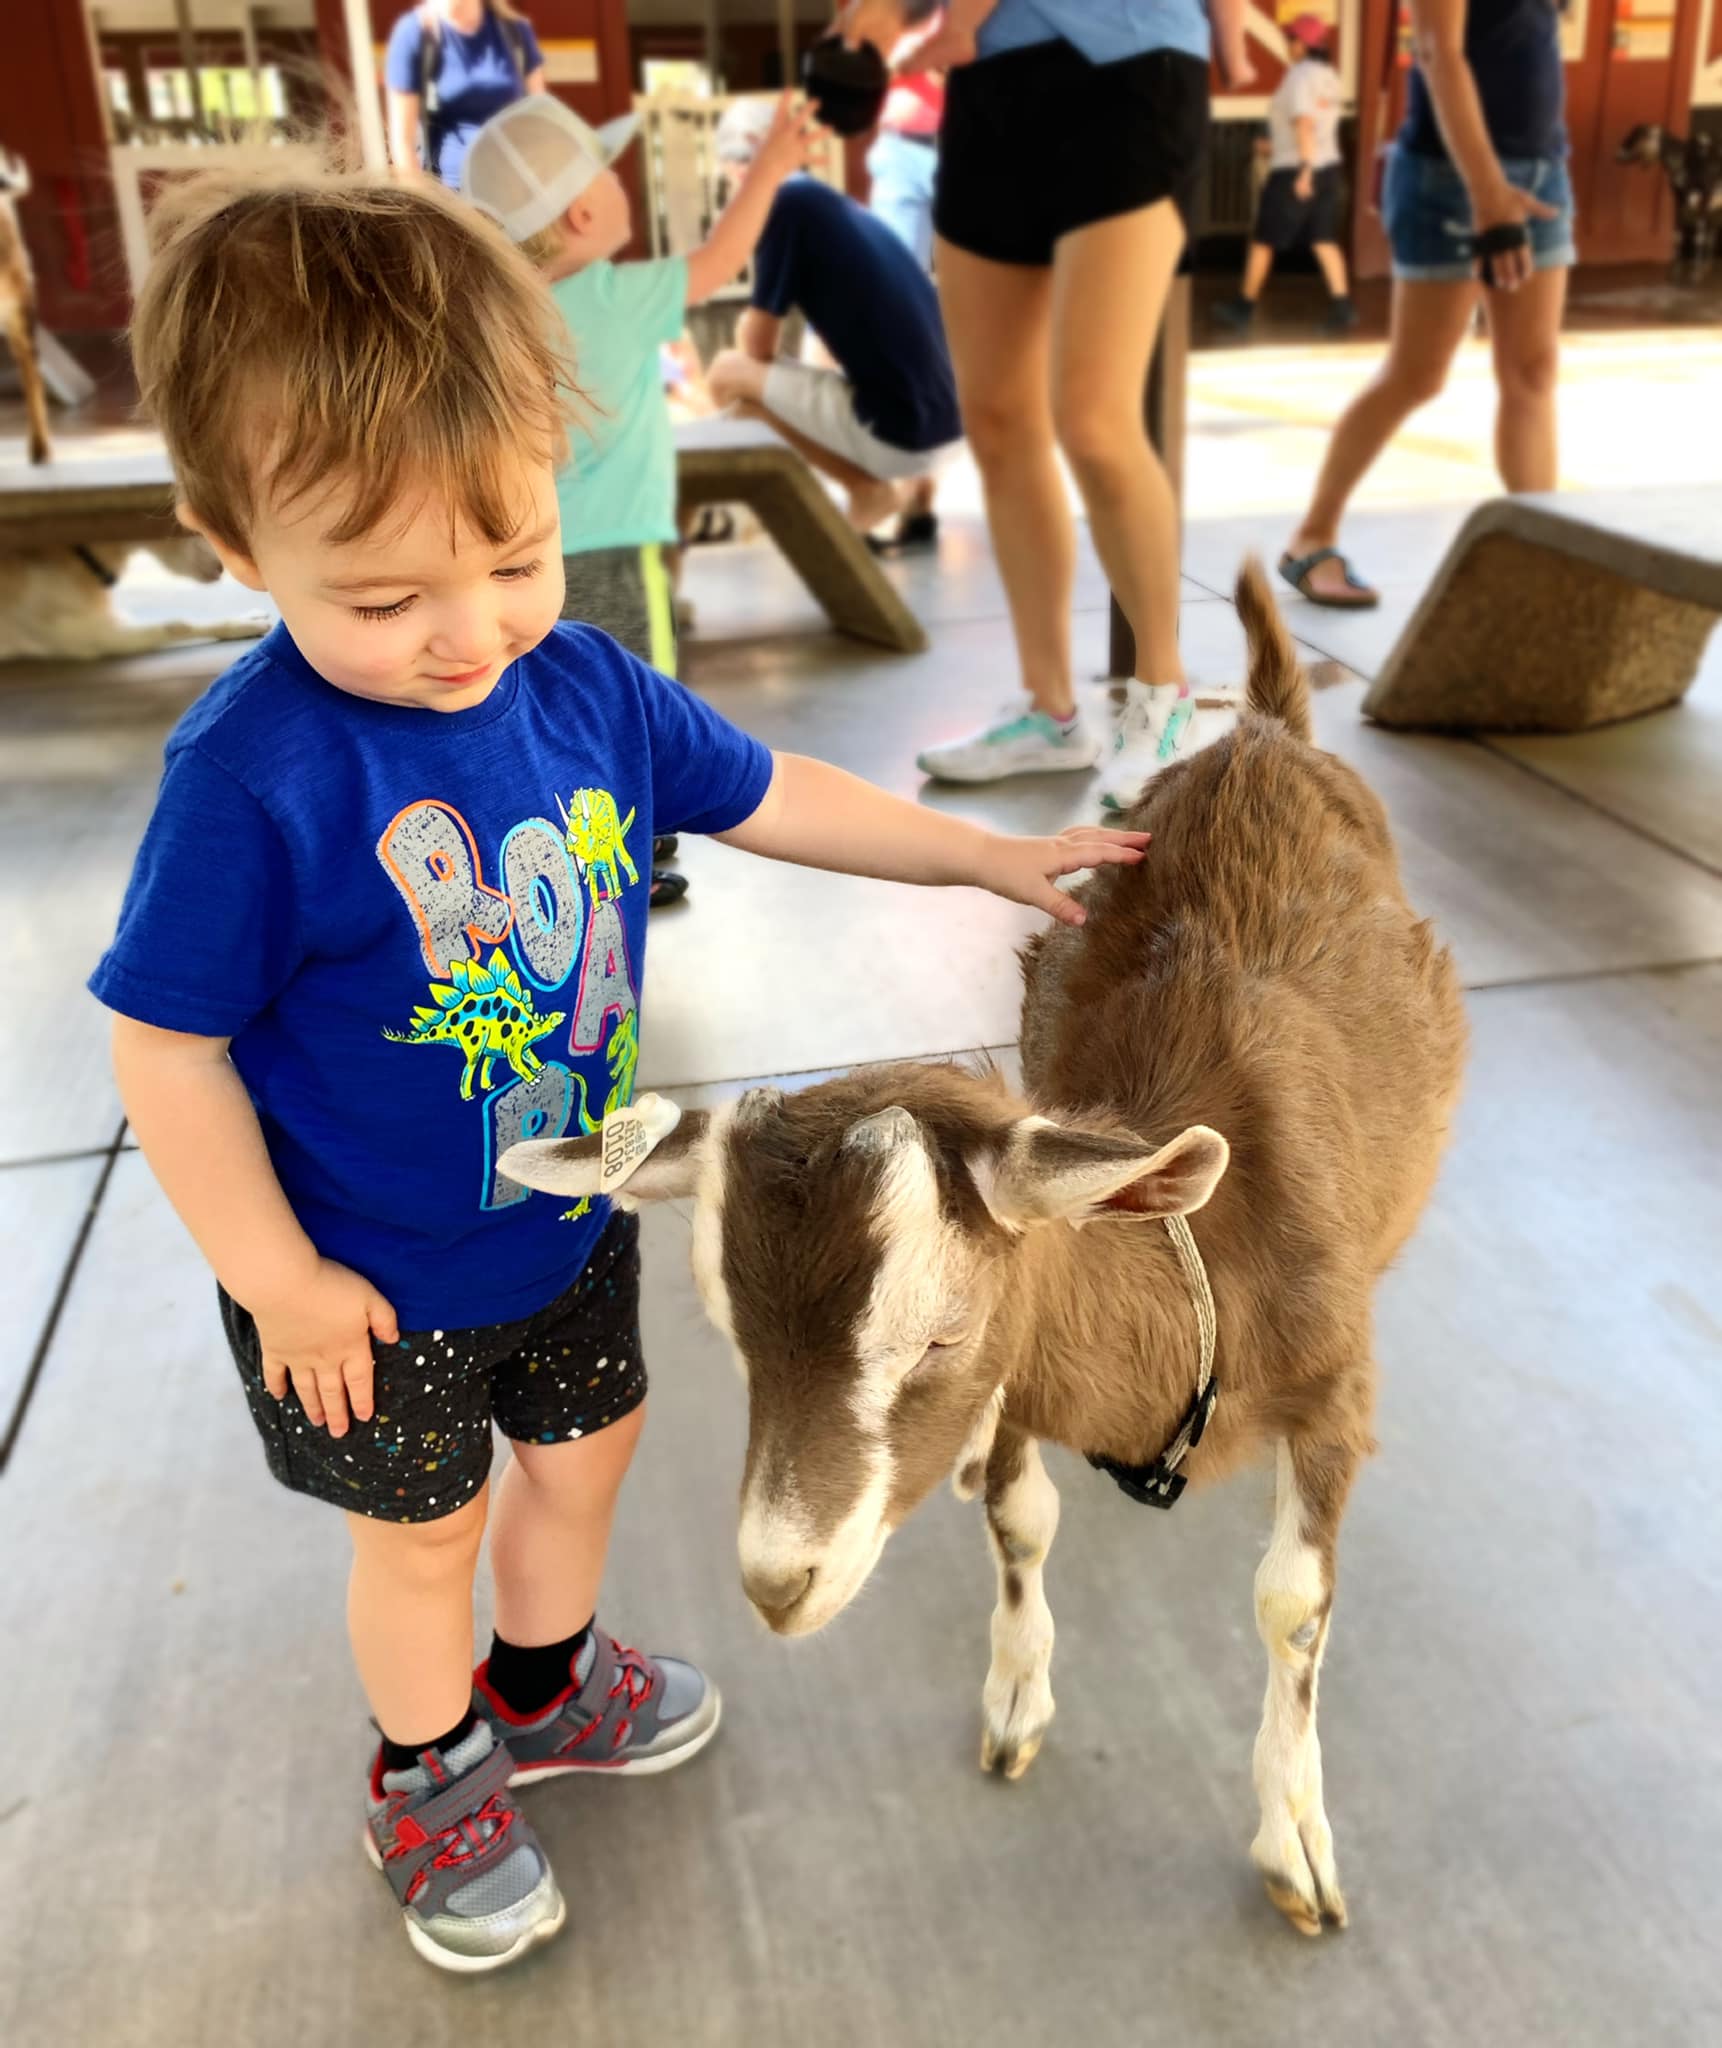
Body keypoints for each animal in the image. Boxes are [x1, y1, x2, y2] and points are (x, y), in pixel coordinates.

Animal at [497, 561, 1466, 1933]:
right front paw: (1015, 1698)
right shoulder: (1024, 1373)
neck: (1202, 1265)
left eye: (940, 1335)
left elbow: (1292, 1600)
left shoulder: (1330, 1388)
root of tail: (1267, 727)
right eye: (730, 1337)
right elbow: (1020, 1516)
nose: (779, 1580)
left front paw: (1294, 1843)